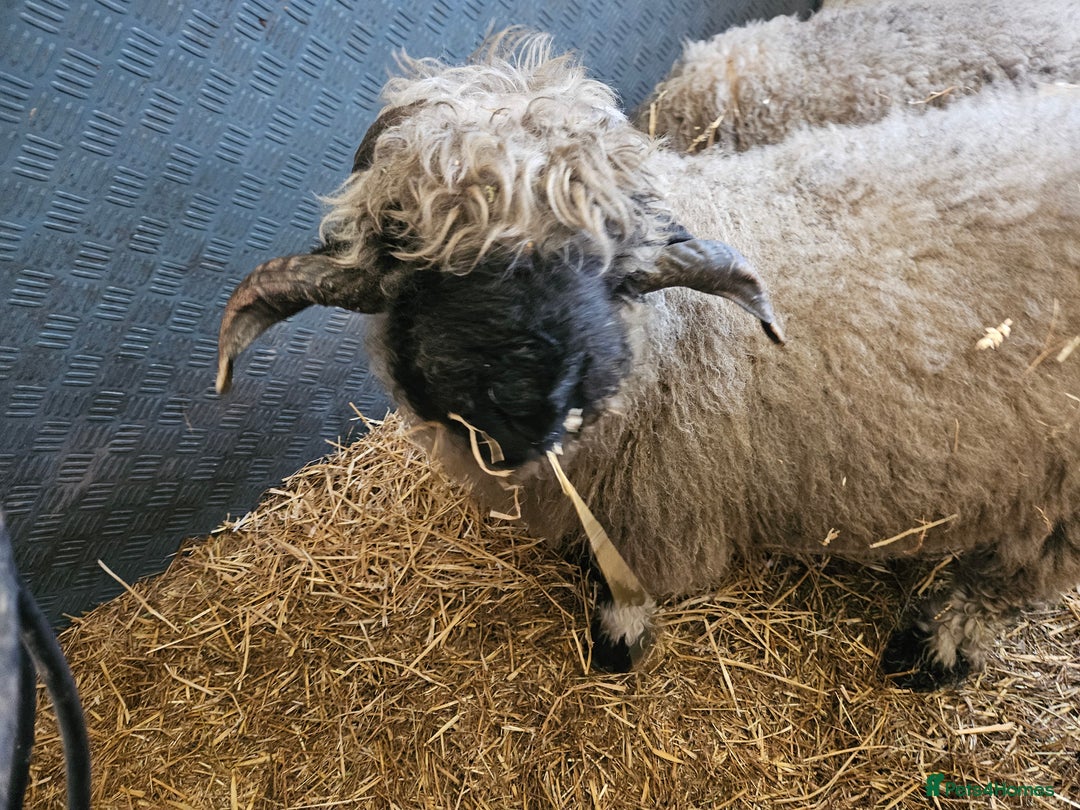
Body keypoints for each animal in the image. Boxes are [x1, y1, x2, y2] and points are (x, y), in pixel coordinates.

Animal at [216, 33, 1080, 689]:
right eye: (402, 247)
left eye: (604, 254)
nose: (519, 415)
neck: (668, 348)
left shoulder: (658, 514)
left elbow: (633, 586)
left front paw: (618, 637)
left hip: (1055, 498)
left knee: (1012, 582)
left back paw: (937, 644)